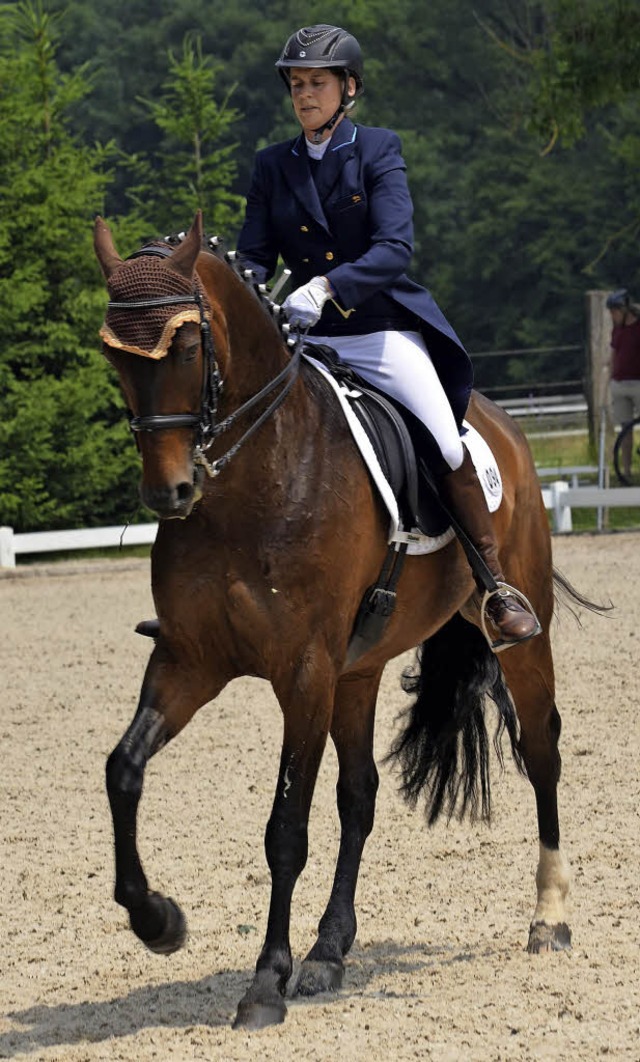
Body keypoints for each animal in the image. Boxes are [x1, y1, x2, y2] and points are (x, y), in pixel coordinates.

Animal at [93, 207, 594, 1028]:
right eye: (113, 354)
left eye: (188, 345)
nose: (171, 492)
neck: (254, 478)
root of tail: (501, 421)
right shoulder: (190, 660)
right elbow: (124, 771)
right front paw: (157, 920)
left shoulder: (303, 672)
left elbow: (285, 828)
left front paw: (265, 982)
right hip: (358, 671)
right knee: (359, 796)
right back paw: (329, 953)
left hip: (513, 631)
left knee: (541, 747)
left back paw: (549, 916)